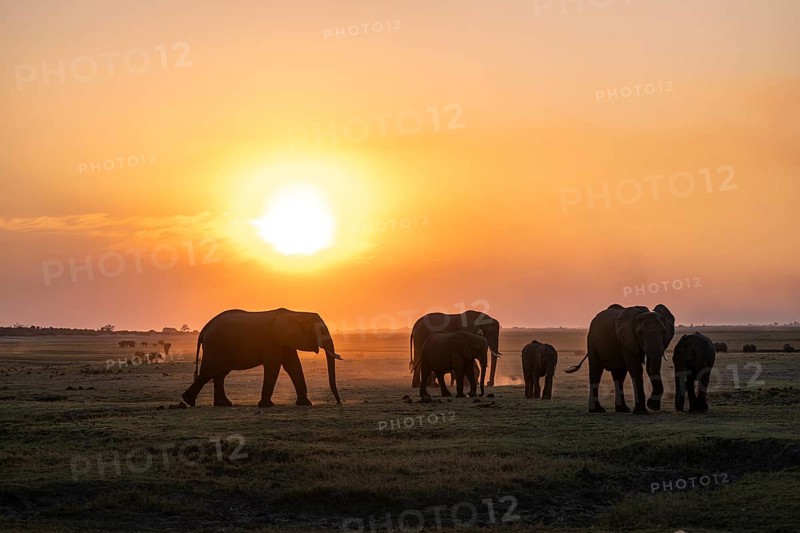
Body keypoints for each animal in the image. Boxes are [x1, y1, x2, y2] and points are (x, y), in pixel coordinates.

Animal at [181, 308, 342, 407]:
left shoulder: (284, 341)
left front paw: (305, 403)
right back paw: (188, 401)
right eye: (320, 331)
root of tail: (204, 329)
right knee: (209, 371)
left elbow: (293, 366)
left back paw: (223, 404)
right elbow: (273, 366)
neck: (296, 313)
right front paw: (267, 405)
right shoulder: (272, 341)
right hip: (215, 345)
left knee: (220, 374)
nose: (338, 403)